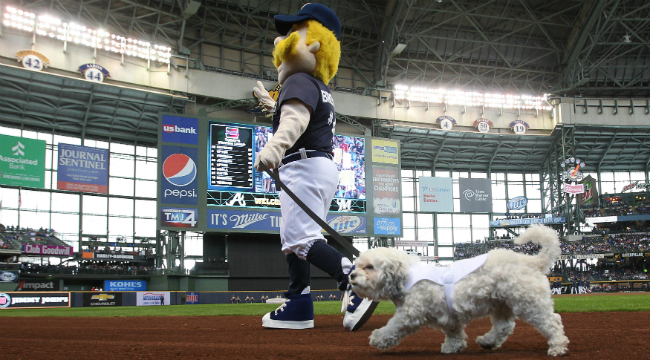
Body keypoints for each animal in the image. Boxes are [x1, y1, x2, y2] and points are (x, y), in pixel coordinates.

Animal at [350, 226, 568, 356]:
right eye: (357, 265)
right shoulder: (449, 316)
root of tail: (532, 261)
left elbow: (393, 327)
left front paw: (378, 338)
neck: (407, 275)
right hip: (501, 304)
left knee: (552, 322)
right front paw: (453, 347)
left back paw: (558, 346)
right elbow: (454, 332)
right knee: (504, 327)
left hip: (530, 303)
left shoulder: (409, 315)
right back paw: (488, 341)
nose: (351, 276)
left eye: (369, 267)